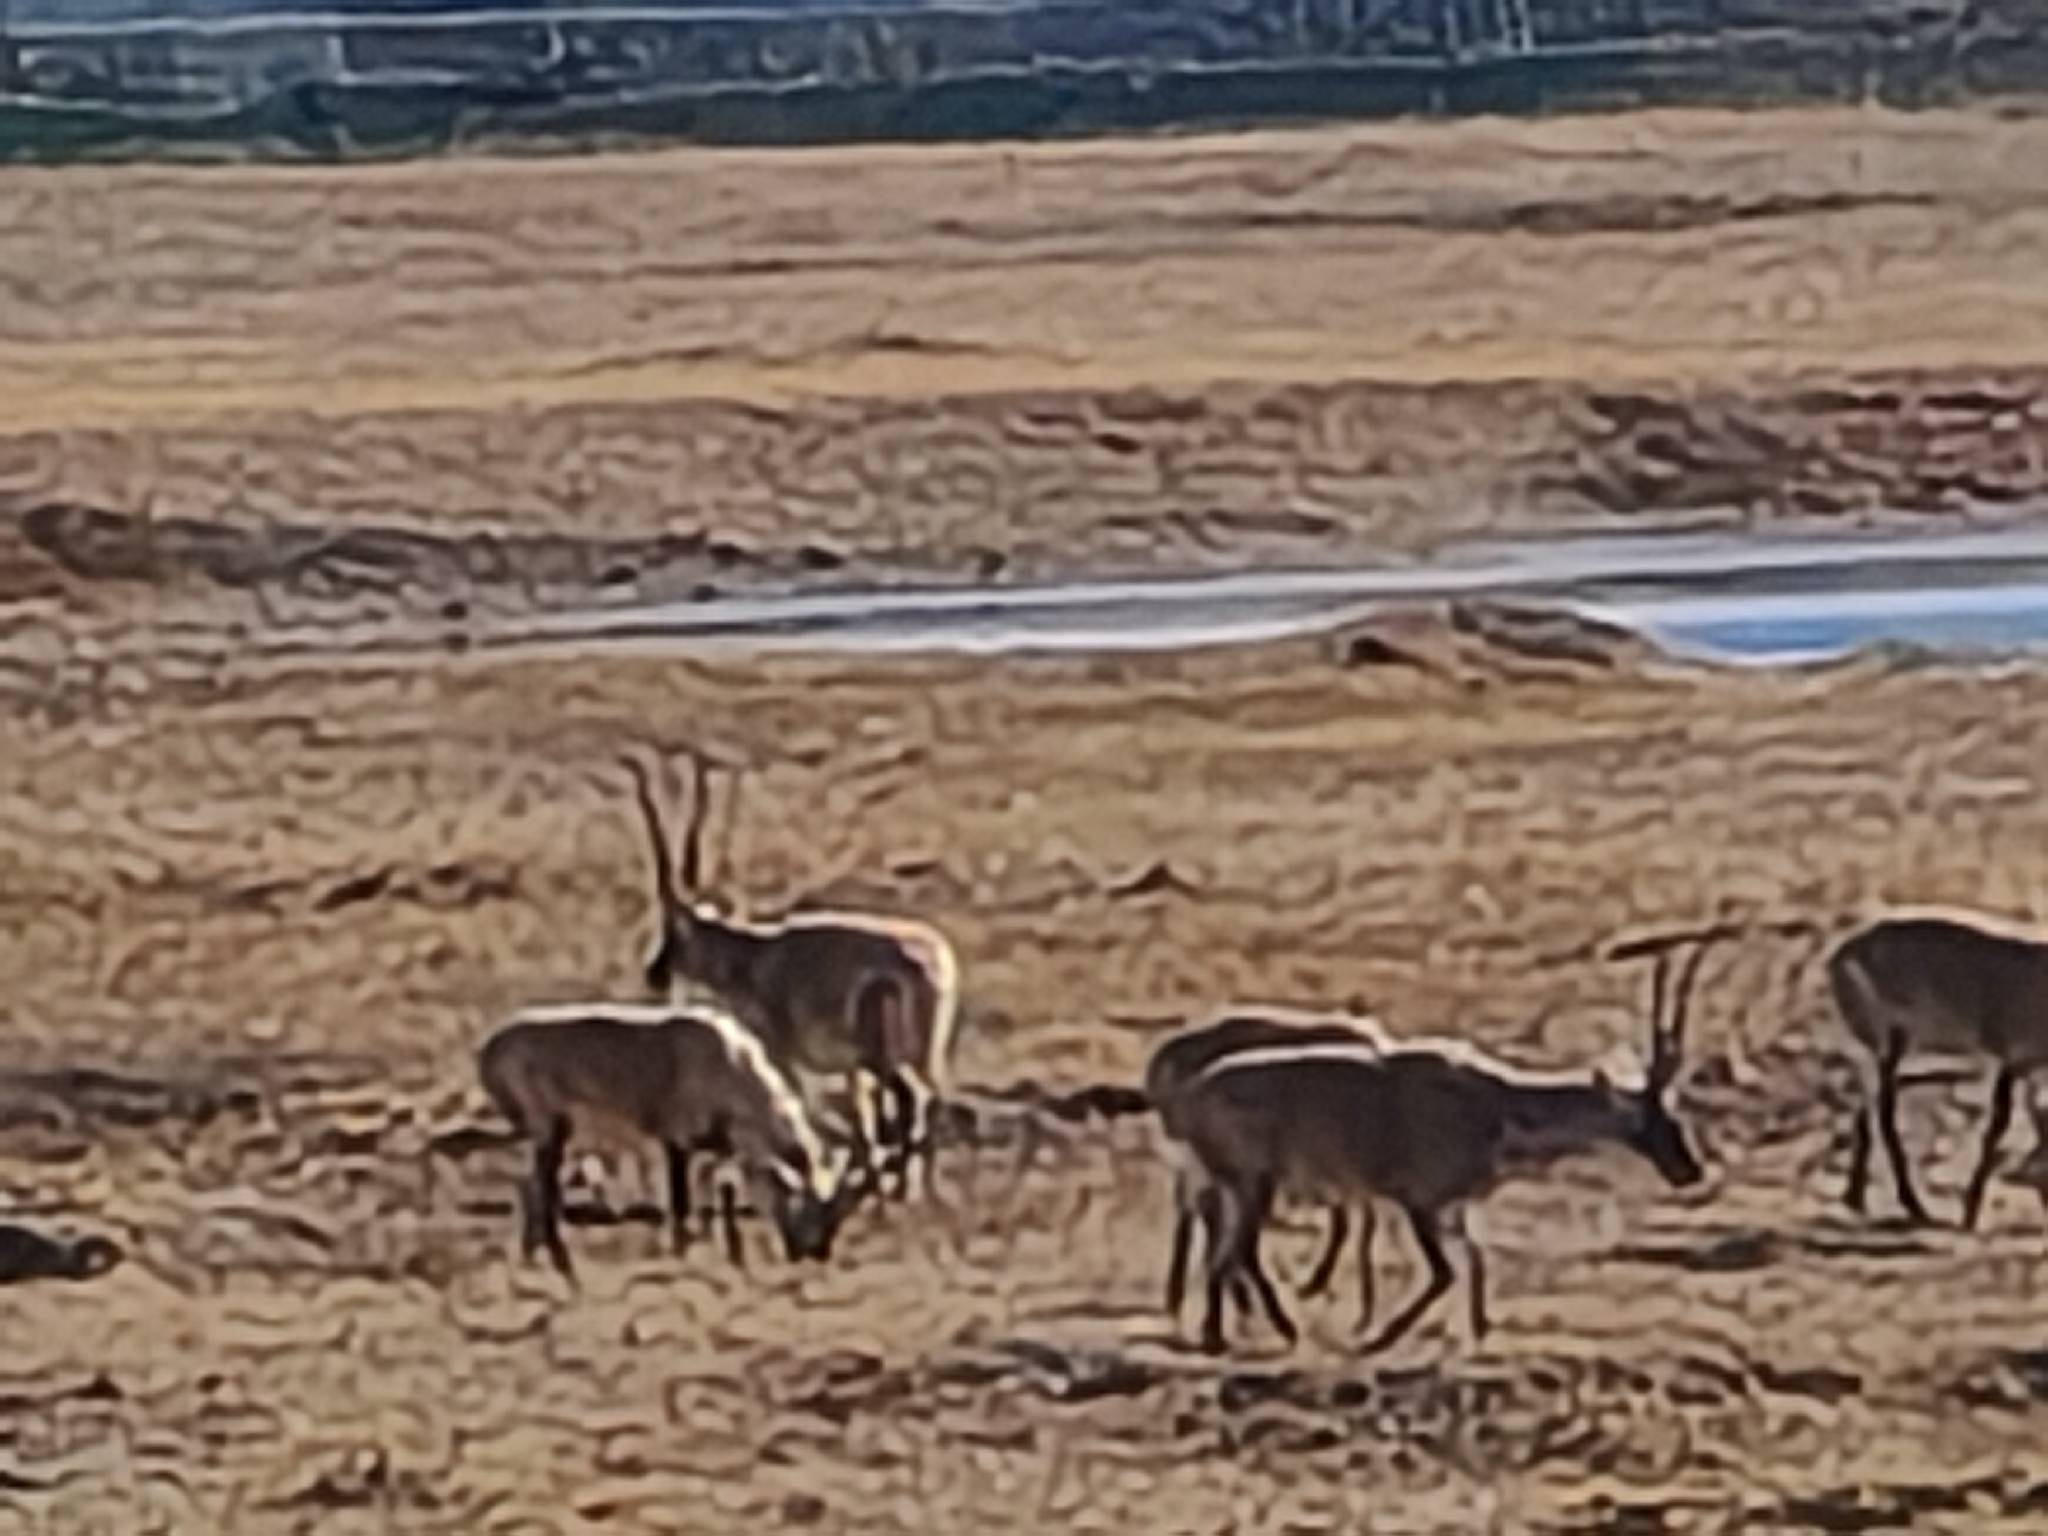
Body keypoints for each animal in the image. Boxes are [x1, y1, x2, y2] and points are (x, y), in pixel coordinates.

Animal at [477, 999, 872, 1277]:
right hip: (551, 1131)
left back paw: (533, 1259)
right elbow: (681, 1203)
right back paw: (560, 1264)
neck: (729, 1061)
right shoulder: (676, 1143)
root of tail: (488, 1051)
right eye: (803, 1205)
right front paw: (681, 1256)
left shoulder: (720, 1152)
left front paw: (734, 1259)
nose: (813, 1254)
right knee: (539, 1188)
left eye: (832, 1210)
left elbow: (722, 1195)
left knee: (528, 1186)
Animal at [618, 753, 962, 1196]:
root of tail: (930, 962)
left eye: (671, 929)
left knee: (911, 1102)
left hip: (884, 1057)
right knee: (927, 1103)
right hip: (918, 1055)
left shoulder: (782, 1053)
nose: (654, 974)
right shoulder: (850, 1070)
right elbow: (864, 1121)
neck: (751, 954)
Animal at [1826, 909, 2048, 1236]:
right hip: (1896, 1040)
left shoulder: (2027, 1069)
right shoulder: (2010, 1060)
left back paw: (1856, 1198)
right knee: (1884, 1111)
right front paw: (1969, 1216)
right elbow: (1998, 1126)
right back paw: (1913, 1207)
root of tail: (1842, 955)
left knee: (1873, 1099)